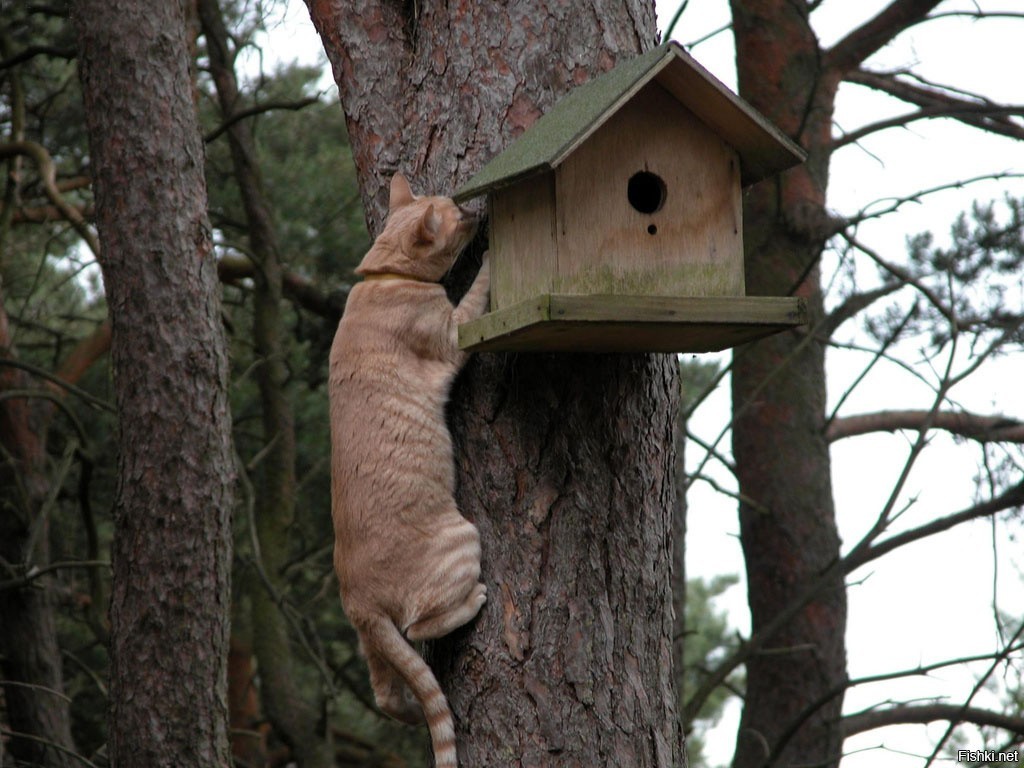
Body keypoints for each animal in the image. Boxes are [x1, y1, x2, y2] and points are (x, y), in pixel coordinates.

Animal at [327, 173, 487, 768]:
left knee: (389, 693)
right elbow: (481, 289)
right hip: (464, 538)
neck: (383, 276)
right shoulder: (455, 331)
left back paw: (415, 713)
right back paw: (475, 601)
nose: (477, 207)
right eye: (456, 213)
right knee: (425, 625)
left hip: (374, 647)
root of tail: (357, 598)